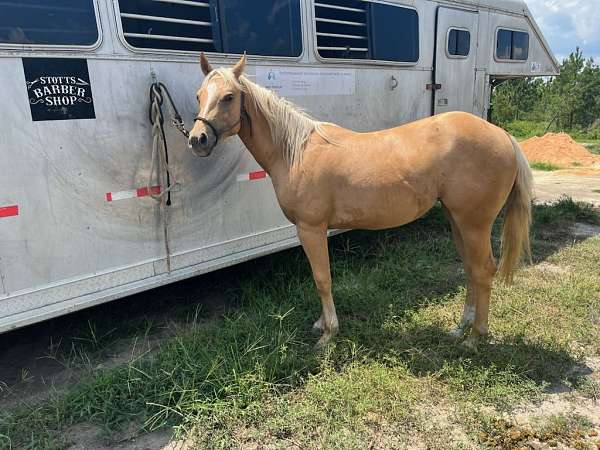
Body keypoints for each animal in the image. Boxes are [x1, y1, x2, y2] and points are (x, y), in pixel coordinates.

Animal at [190, 53, 532, 348]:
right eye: (199, 95)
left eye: (229, 97)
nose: (197, 139)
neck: (296, 152)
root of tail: (503, 136)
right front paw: (322, 324)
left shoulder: (311, 229)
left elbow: (322, 279)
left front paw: (328, 334)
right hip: (457, 219)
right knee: (471, 270)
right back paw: (460, 328)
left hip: (474, 224)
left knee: (483, 270)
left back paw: (476, 338)